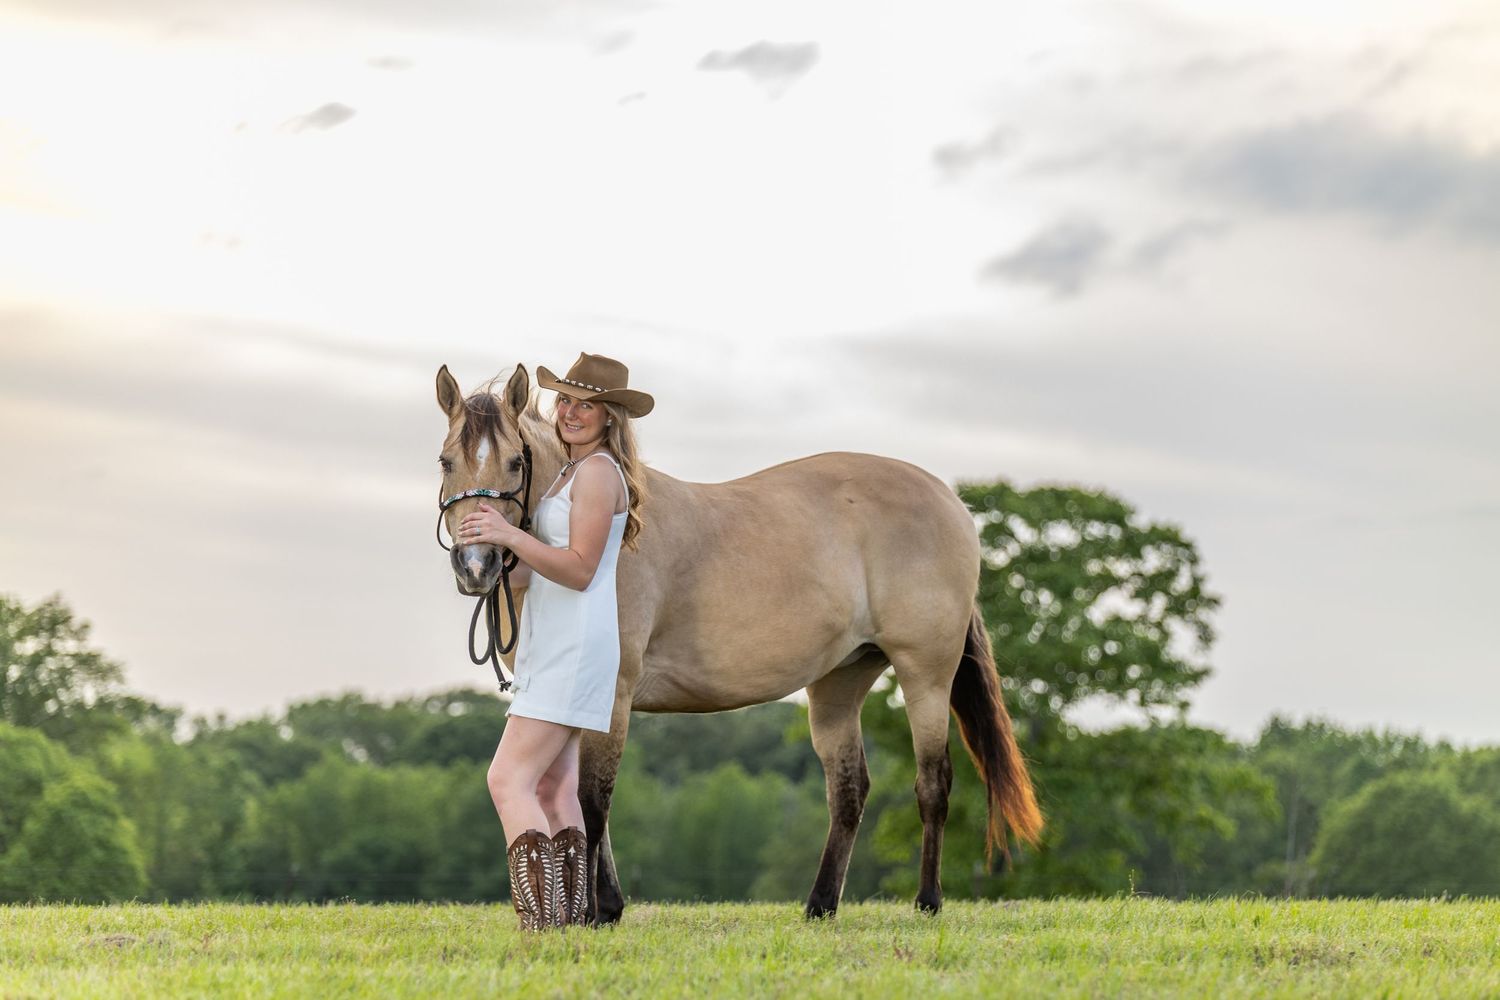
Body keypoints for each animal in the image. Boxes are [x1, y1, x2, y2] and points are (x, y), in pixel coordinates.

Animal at [435, 364, 1042, 922]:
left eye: (515, 462)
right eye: (446, 461)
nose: (475, 566)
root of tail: (948, 500)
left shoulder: (614, 694)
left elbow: (592, 801)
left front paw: (597, 911)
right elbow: (576, 802)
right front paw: (602, 906)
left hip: (926, 674)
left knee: (933, 782)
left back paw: (927, 901)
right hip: (840, 682)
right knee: (848, 791)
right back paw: (820, 904)